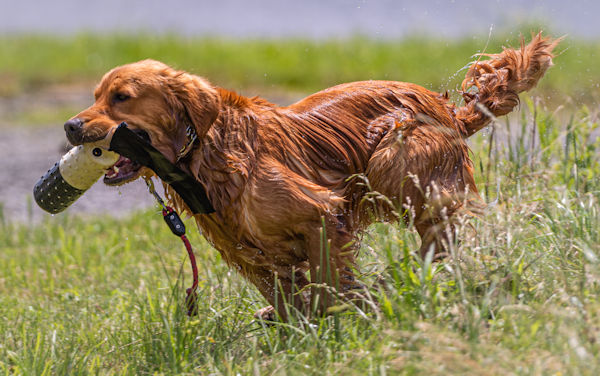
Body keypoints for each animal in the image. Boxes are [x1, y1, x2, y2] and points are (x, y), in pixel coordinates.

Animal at [64, 33, 556, 320]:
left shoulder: (321, 212)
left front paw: (337, 313)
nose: (70, 126)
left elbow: (327, 280)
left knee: (439, 236)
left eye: (122, 97)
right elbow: (278, 291)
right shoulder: (241, 250)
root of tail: (447, 108)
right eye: (95, 96)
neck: (204, 153)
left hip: (394, 160)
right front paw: (290, 320)